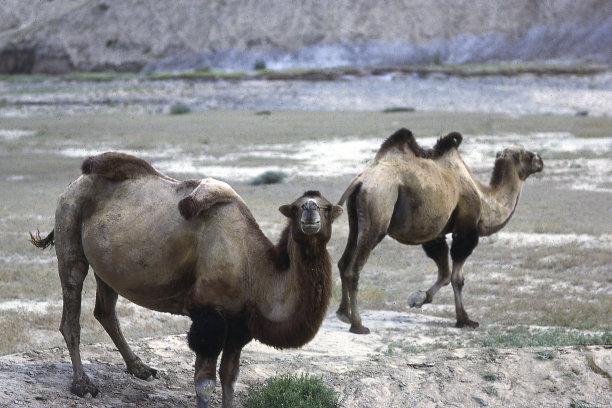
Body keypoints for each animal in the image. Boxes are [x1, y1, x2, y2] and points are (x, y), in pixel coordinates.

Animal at [28, 152, 342, 408]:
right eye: (297, 207)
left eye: (327, 208)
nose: (310, 213)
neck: (254, 267)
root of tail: (75, 182)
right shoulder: (208, 316)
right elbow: (205, 383)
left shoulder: (238, 323)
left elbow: (230, 376)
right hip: (69, 227)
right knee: (72, 309)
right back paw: (83, 385)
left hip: (107, 264)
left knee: (105, 311)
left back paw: (140, 368)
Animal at [338, 129, 544, 334]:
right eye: (526, 155)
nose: (540, 160)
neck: (483, 198)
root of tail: (360, 180)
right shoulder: (465, 229)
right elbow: (457, 278)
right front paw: (465, 320)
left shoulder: (436, 233)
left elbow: (444, 273)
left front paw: (419, 298)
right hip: (379, 207)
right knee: (354, 269)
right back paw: (358, 325)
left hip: (356, 219)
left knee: (343, 262)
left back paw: (343, 314)